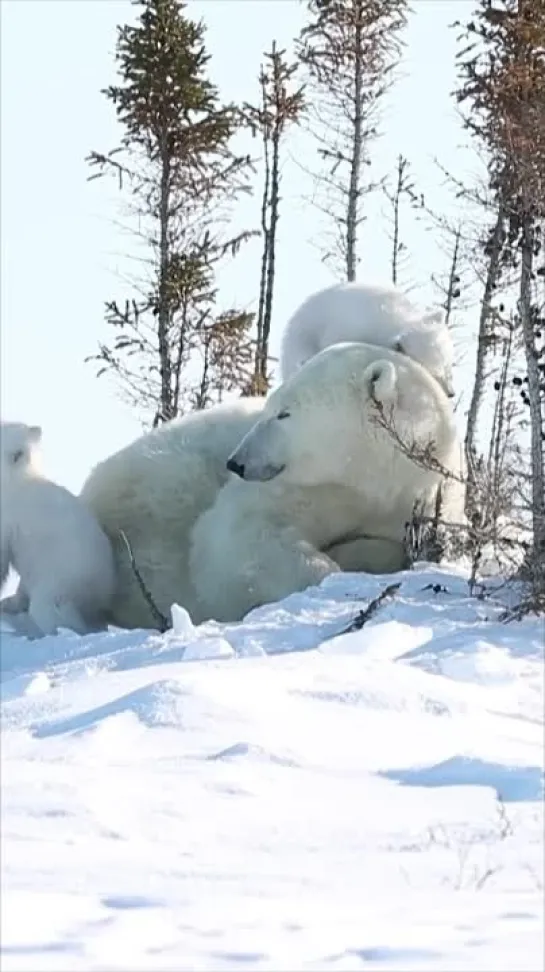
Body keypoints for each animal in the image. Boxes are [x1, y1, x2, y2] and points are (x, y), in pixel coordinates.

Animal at [78, 344, 456, 632]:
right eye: (270, 406)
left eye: (284, 414)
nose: (236, 462)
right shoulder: (302, 487)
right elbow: (239, 538)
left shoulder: (413, 500)